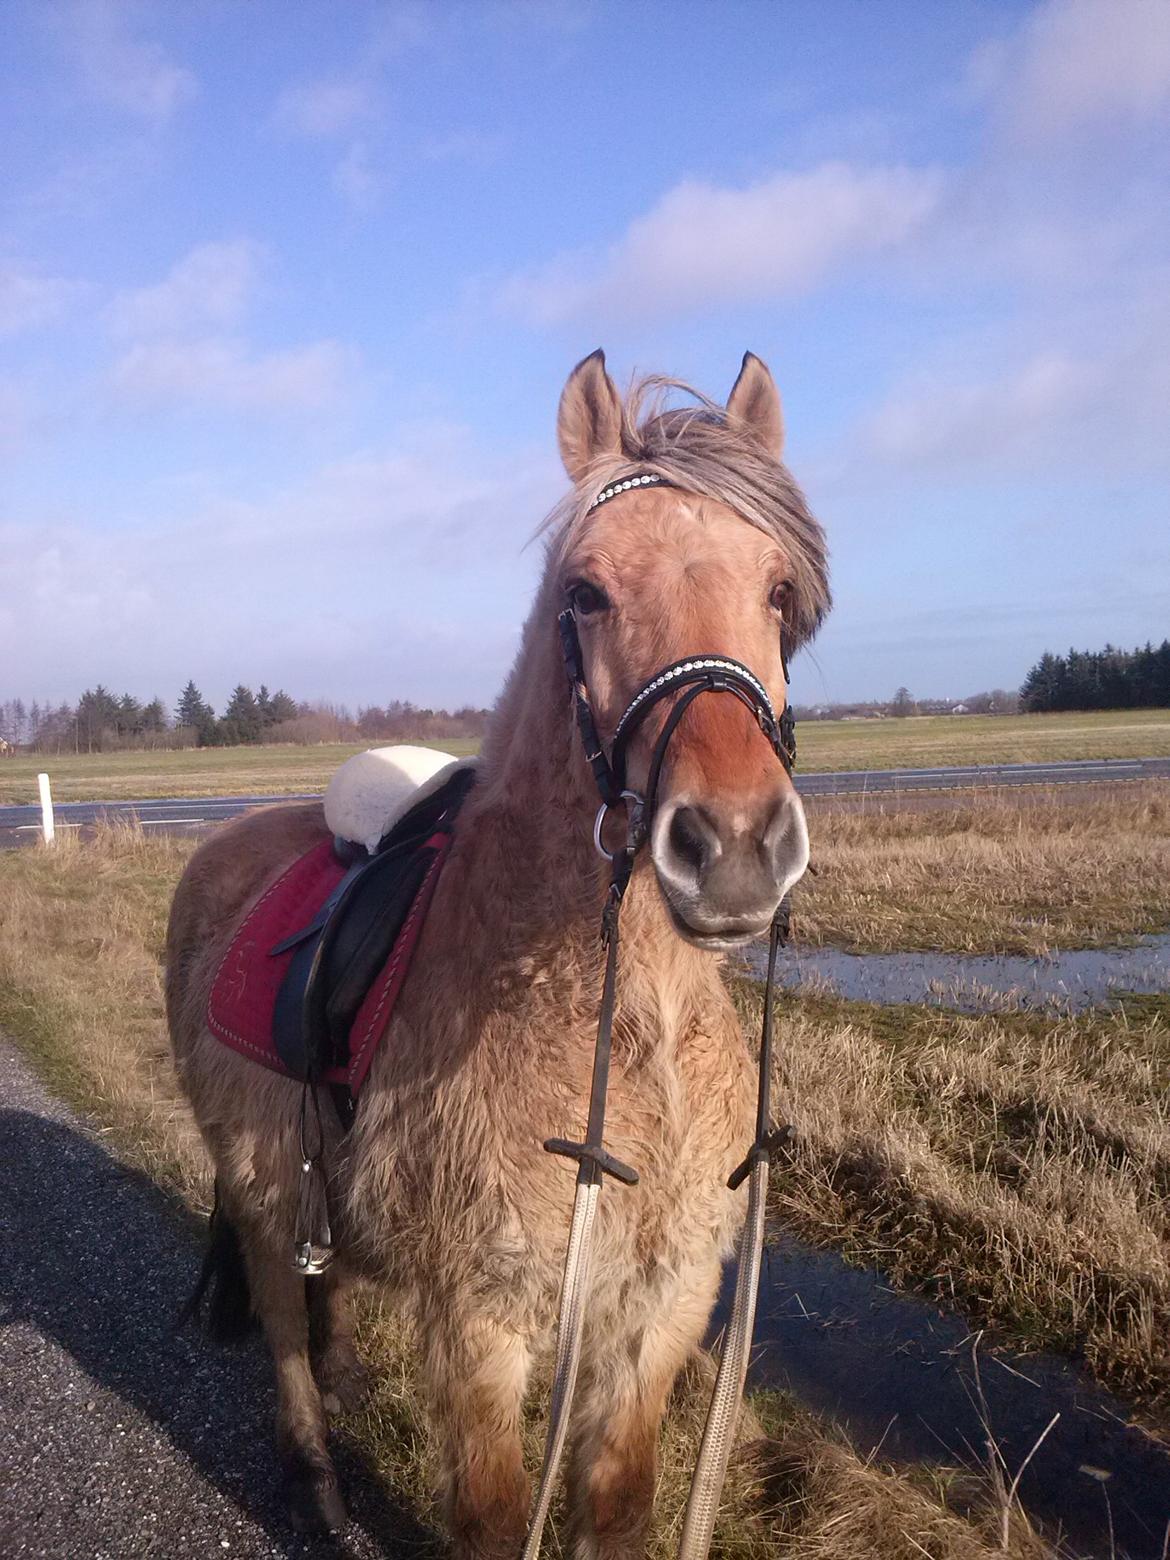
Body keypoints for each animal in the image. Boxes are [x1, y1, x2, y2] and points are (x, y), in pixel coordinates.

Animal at [166, 354, 836, 1560]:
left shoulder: (657, 1314)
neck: (628, 1033)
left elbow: (616, 1509)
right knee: (282, 1316)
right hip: (256, 1183)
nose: (734, 848)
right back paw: (316, 1476)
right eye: (587, 593)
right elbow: (489, 1517)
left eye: (775, 593)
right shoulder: (479, 1328)